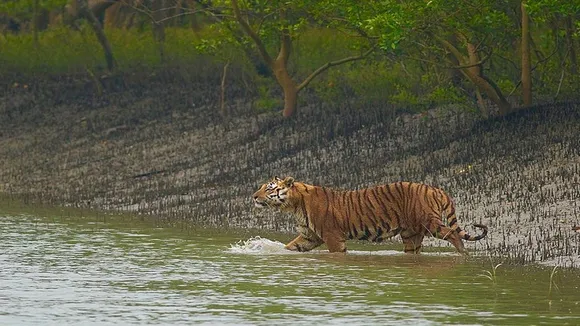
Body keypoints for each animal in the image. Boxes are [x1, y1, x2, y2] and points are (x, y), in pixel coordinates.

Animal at [251, 176, 488, 255]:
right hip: (411, 234)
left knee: (453, 234)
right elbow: (290, 247)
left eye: (268, 188)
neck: (294, 204)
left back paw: (463, 256)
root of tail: (436, 188)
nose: (253, 196)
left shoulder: (332, 236)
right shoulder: (310, 236)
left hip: (430, 223)